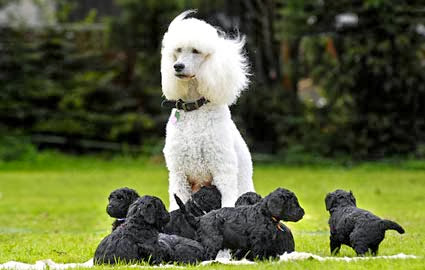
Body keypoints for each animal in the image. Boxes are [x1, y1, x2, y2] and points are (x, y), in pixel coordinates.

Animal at [161, 10, 255, 210]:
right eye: (178, 50)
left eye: (196, 51)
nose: (177, 66)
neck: (194, 109)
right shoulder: (179, 174)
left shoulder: (223, 169)